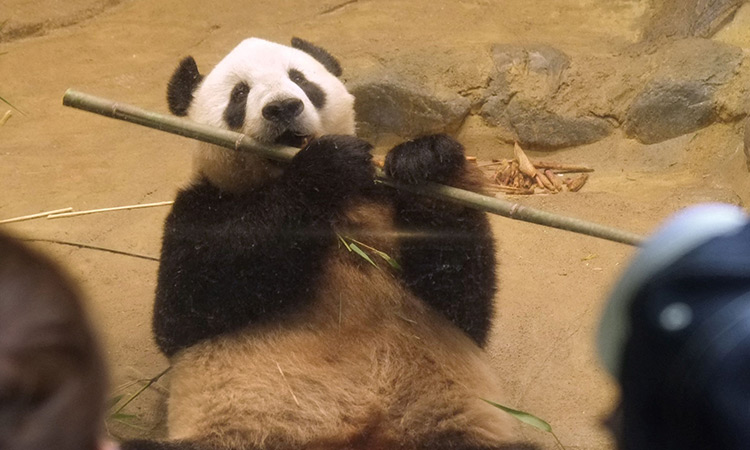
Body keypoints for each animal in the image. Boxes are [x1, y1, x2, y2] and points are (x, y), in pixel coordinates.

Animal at [123, 37, 536, 450]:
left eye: (300, 79)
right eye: (239, 94)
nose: (283, 107)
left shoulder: (379, 200)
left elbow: (463, 303)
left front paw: (426, 159)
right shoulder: (198, 207)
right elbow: (184, 309)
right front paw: (325, 166)